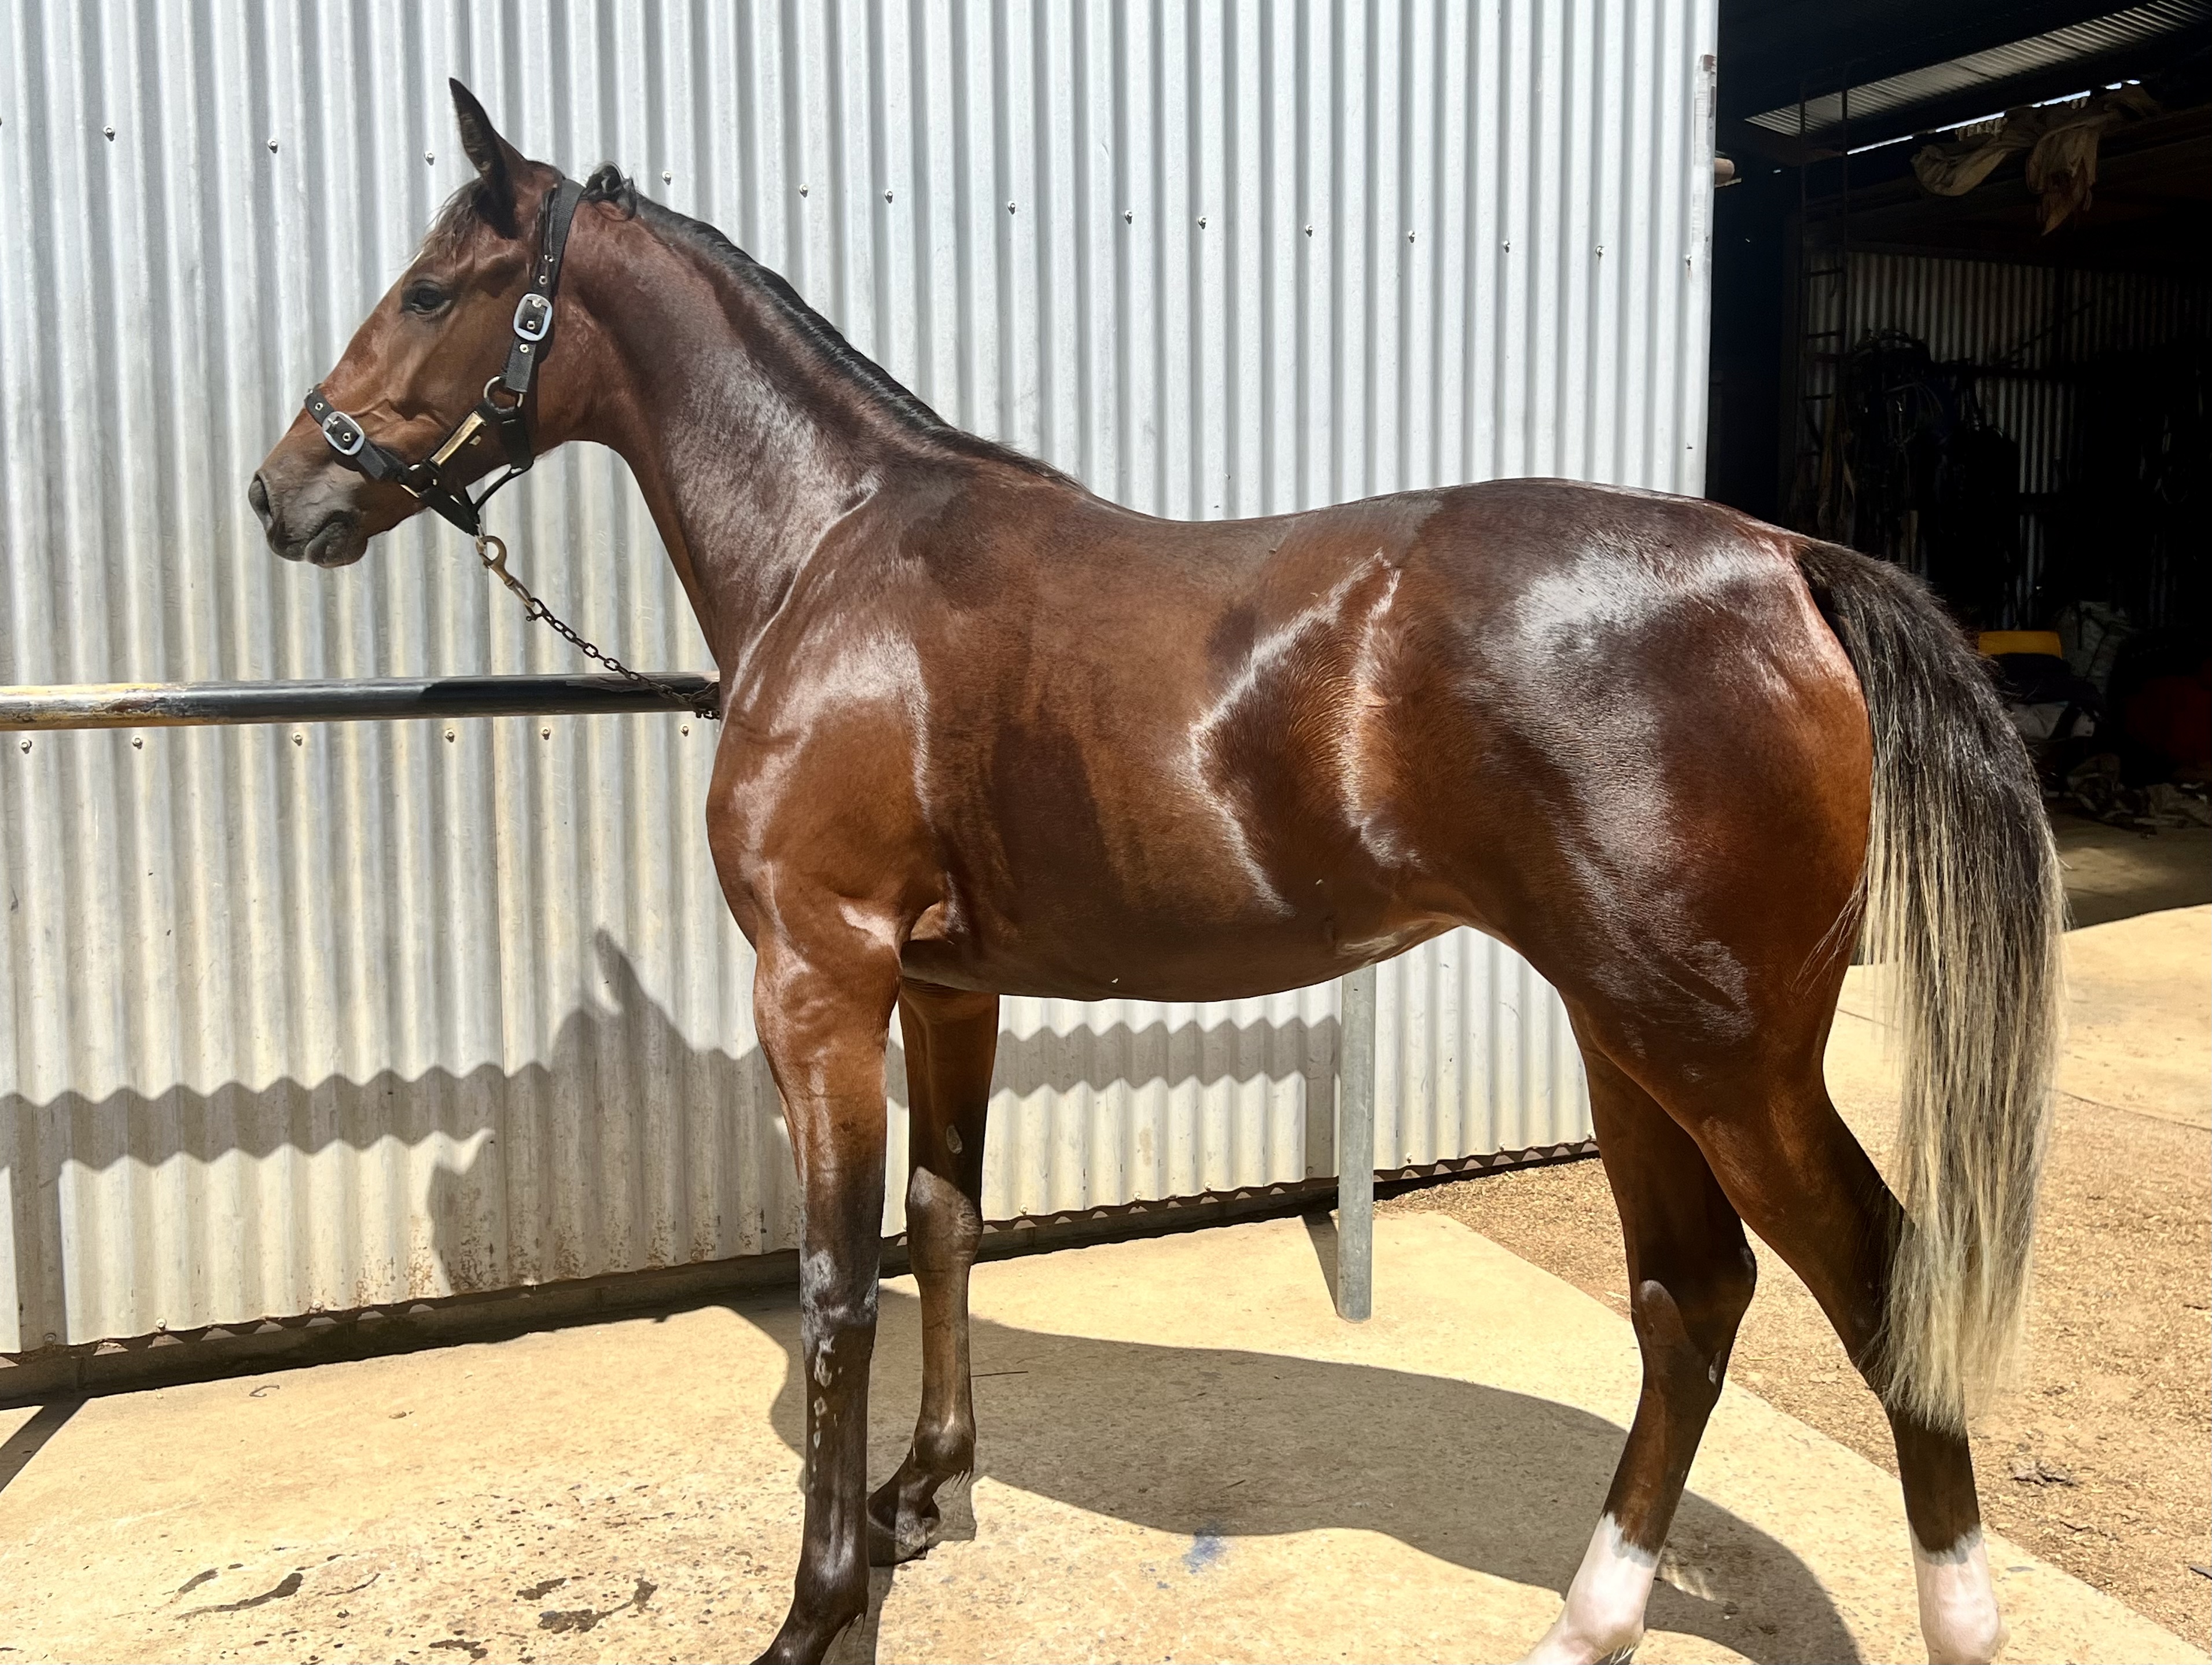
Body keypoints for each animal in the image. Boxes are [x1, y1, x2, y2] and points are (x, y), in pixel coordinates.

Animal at [251, 83, 2062, 1665]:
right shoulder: (947, 987)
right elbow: (946, 1219)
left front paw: (820, 1608)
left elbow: (838, 1283)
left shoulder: (819, 980)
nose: (285, 491)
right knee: (1690, 1295)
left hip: (1726, 1058)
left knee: (1876, 1286)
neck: (839, 553)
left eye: (430, 289)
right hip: (1628, 1040)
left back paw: (1950, 1620)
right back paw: (1585, 1619)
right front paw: (926, 1494)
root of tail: (1787, 559)